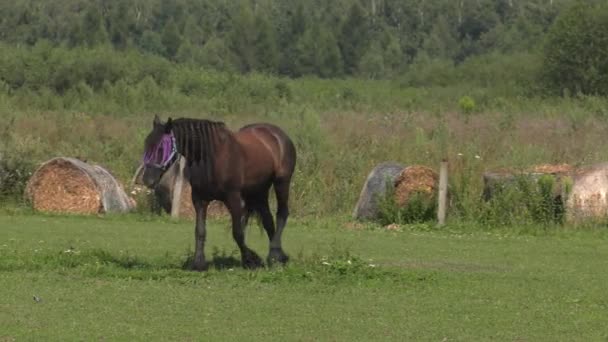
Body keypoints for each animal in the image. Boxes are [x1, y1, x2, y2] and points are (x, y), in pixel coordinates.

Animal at [141, 116, 296, 272]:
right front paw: (198, 263)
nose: (147, 180)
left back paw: (275, 255)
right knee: (268, 221)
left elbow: (237, 232)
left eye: (161, 148)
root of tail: (277, 133)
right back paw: (277, 255)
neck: (211, 157)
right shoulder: (199, 199)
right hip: (258, 191)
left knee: (282, 213)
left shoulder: (233, 198)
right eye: (146, 145)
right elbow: (200, 231)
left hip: (281, 182)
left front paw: (251, 260)